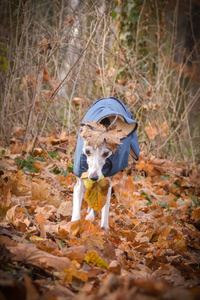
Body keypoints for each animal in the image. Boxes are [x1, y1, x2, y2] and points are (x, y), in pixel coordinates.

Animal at [71, 97, 139, 231]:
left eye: (106, 153)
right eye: (87, 151)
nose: (93, 177)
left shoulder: (106, 183)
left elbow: (103, 209)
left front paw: (103, 227)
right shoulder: (80, 181)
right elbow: (77, 210)